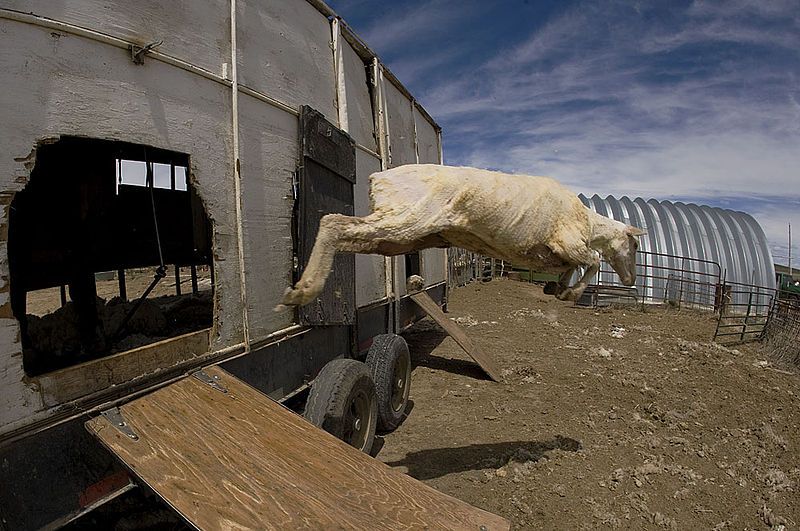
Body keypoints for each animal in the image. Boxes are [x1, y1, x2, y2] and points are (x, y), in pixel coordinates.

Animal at [282, 165, 644, 308]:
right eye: (636, 244)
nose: (630, 280)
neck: (590, 223)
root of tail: (377, 178)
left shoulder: (552, 253)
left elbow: (568, 266)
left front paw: (558, 289)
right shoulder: (565, 241)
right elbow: (592, 260)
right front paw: (571, 293)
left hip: (397, 235)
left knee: (346, 231)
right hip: (408, 218)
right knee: (334, 222)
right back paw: (304, 290)